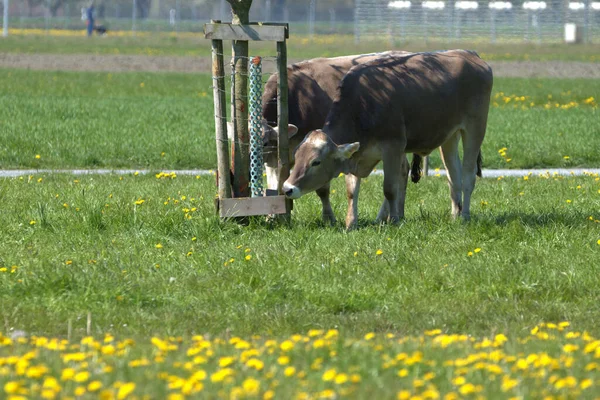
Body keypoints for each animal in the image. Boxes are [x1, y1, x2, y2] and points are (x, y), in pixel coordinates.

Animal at [284, 50, 494, 230]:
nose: (287, 188)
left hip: (475, 128)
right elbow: (352, 190)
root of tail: (469, 54)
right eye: (297, 156)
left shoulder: (393, 147)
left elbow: (390, 188)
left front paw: (394, 221)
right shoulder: (355, 154)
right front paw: (351, 223)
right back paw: (454, 216)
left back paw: (465, 216)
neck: (364, 104)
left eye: (316, 162)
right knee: (453, 176)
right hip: (450, 136)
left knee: (467, 175)